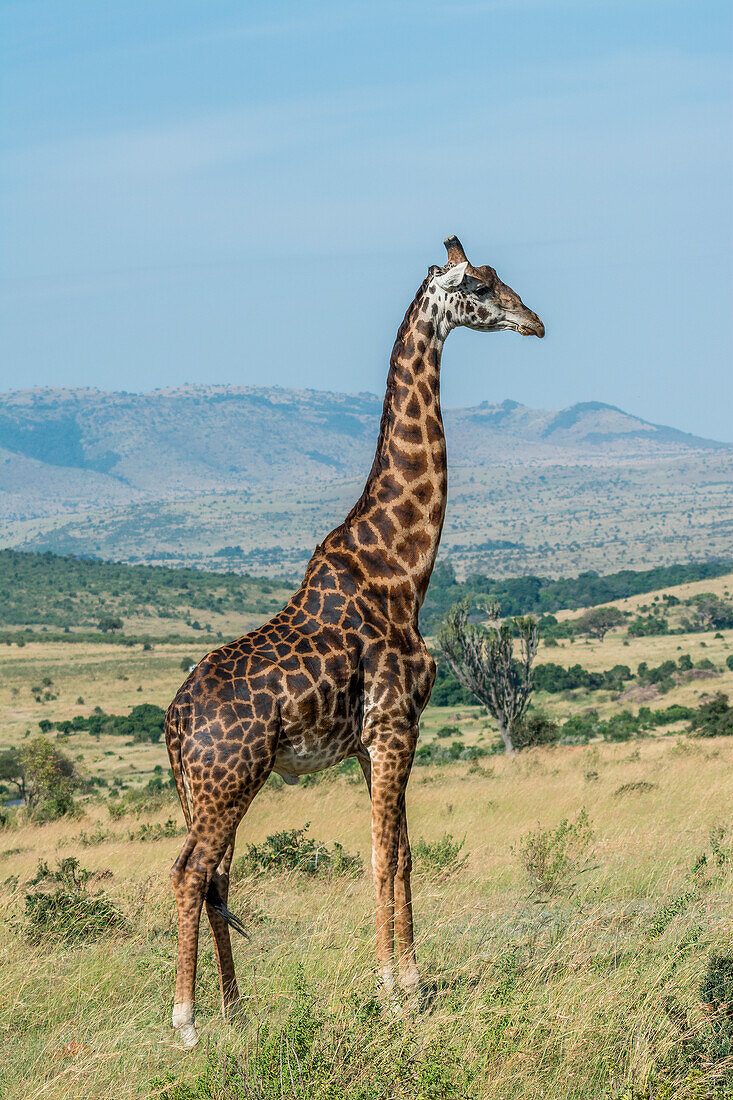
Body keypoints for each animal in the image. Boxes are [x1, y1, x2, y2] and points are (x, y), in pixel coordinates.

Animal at [167, 234, 541, 1047]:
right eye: (480, 285)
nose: (534, 322)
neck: (401, 568)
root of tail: (173, 726)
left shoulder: (377, 740)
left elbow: (400, 853)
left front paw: (409, 980)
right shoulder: (396, 724)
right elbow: (380, 857)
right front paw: (397, 989)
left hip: (207, 789)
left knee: (217, 877)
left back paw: (237, 1010)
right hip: (228, 780)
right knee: (188, 873)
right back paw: (187, 1024)